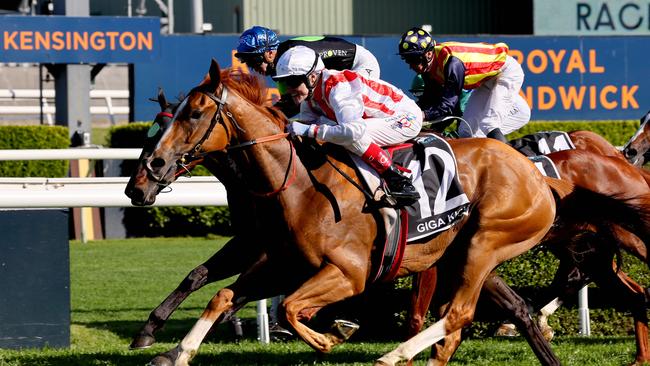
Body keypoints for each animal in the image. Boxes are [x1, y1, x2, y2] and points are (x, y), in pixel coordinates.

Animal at [126, 58, 648, 364]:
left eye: (194, 114)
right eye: (159, 123)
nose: (145, 177)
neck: (295, 186)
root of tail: (544, 178)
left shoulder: (349, 272)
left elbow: (294, 308)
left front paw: (335, 334)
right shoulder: (280, 261)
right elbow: (221, 294)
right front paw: (172, 350)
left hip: (488, 242)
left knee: (459, 314)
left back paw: (393, 356)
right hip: (500, 252)